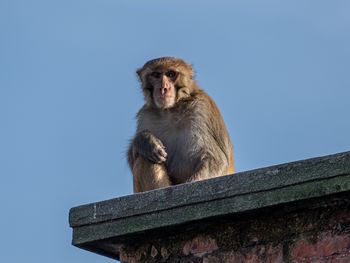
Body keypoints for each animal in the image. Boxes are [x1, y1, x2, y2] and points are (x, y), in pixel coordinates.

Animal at [127, 58, 234, 194]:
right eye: (156, 75)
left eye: (171, 74)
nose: (163, 88)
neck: (171, 110)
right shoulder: (146, 115)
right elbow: (133, 157)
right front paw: (145, 141)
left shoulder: (200, 110)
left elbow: (216, 159)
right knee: (144, 158)